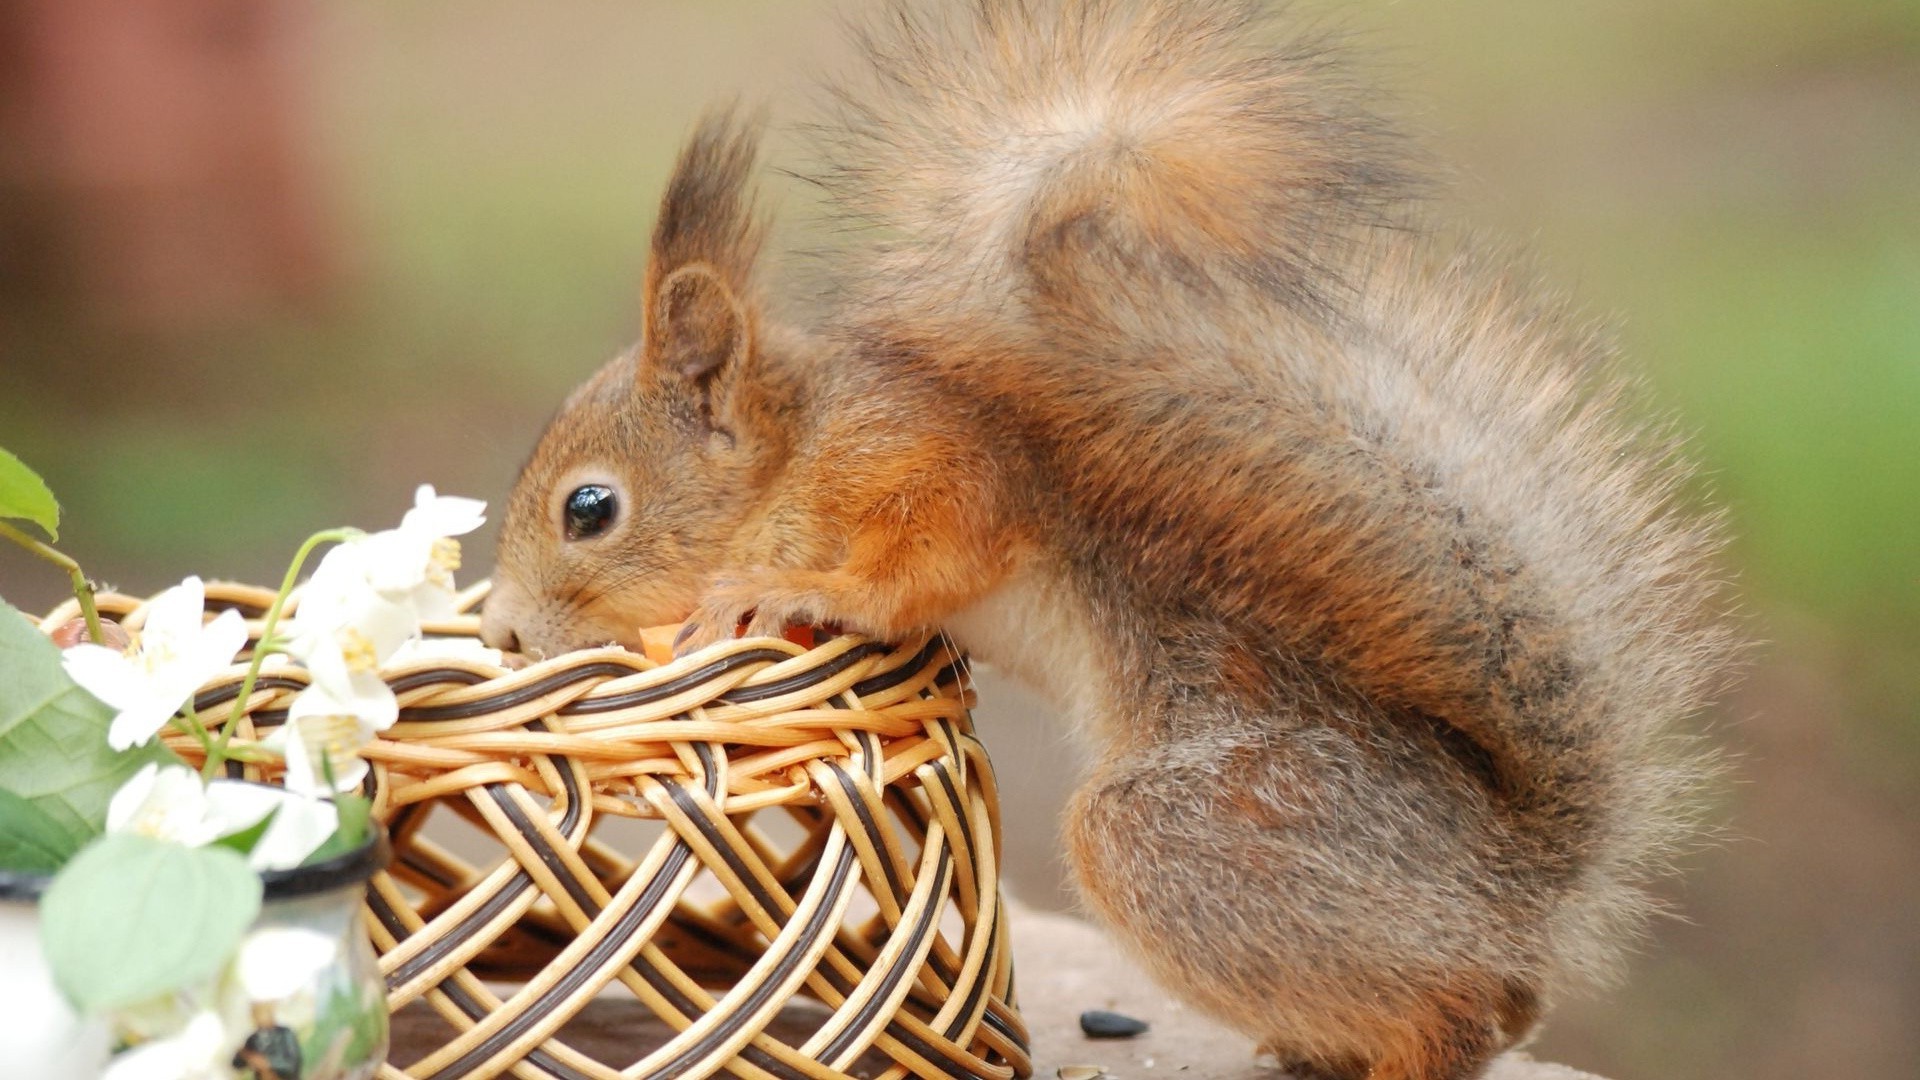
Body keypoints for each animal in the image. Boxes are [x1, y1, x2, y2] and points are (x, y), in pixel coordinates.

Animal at [480, 4, 1743, 1068]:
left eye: (589, 509)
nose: (503, 629)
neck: (793, 451)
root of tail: (1516, 881)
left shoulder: (927, 463)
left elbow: (929, 555)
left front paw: (790, 594)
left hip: (1195, 836)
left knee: (1461, 1010)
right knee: (1503, 1002)